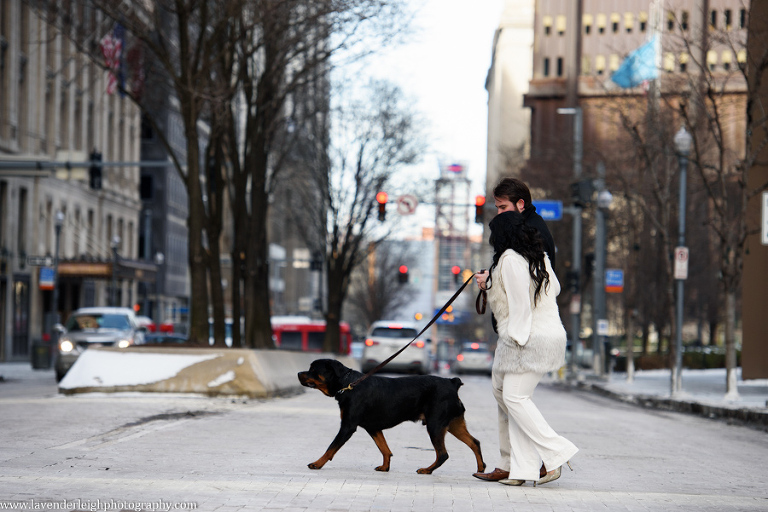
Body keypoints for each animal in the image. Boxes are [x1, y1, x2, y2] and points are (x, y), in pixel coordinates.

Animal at [296, 358, 484, 474]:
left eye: (313, 370)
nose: (298, 373)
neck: (348, 384)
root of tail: (452, 383)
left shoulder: (348, 426)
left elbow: (331, 448)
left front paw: (317, 463)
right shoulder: (373, 427)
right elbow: (384, 448)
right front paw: (385, 467)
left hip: (435, 425)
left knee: (443, 453)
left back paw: (427, 470)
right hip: (453, 424)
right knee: (474, 442)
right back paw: (481, 468)